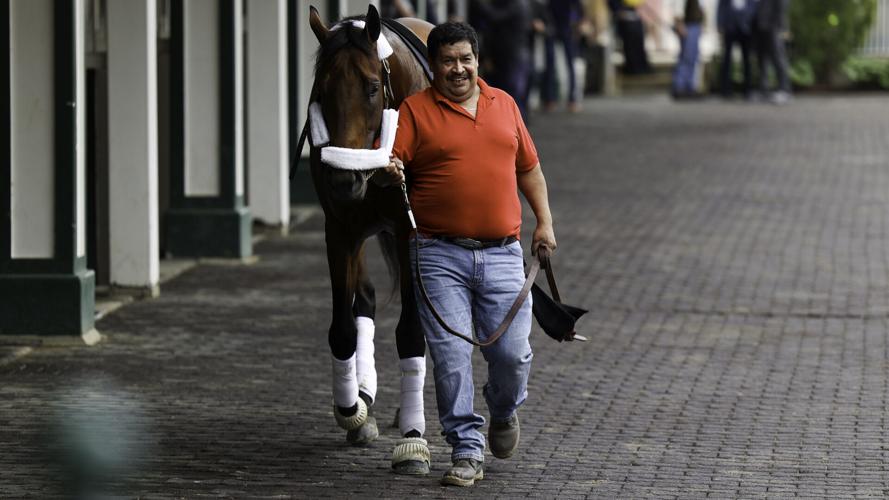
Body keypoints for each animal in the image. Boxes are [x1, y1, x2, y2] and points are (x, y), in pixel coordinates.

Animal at [306, 4, 433, 475]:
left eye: (372, 87)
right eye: (321, 90)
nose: (345, 179)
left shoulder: (411, 230)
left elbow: (412, 330)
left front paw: (414, 439)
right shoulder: (340, 227)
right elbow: (342, 328)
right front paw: (353, 410)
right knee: (366, 298)